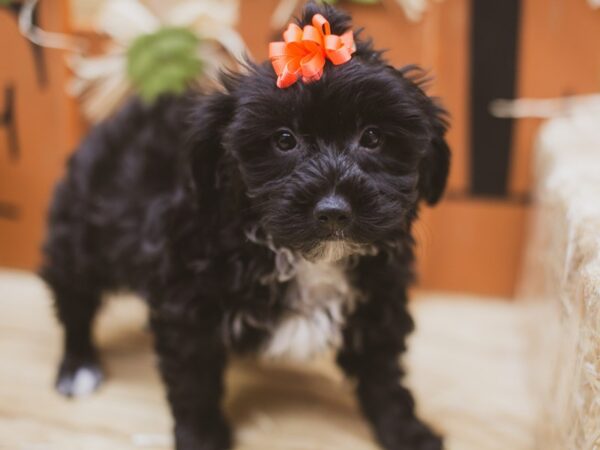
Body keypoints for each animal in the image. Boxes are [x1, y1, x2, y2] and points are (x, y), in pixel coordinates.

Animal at [42, 3, 450, 450]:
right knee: (74, 296)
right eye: (284, 140)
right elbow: (194, 381)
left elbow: (383, 373)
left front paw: (406, 430)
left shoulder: (377, 299)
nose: (333, 210)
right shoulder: (187, 303)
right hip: (81, 234)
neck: (294, 254)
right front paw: (202, 437)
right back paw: (78, 364)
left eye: (373, 137)